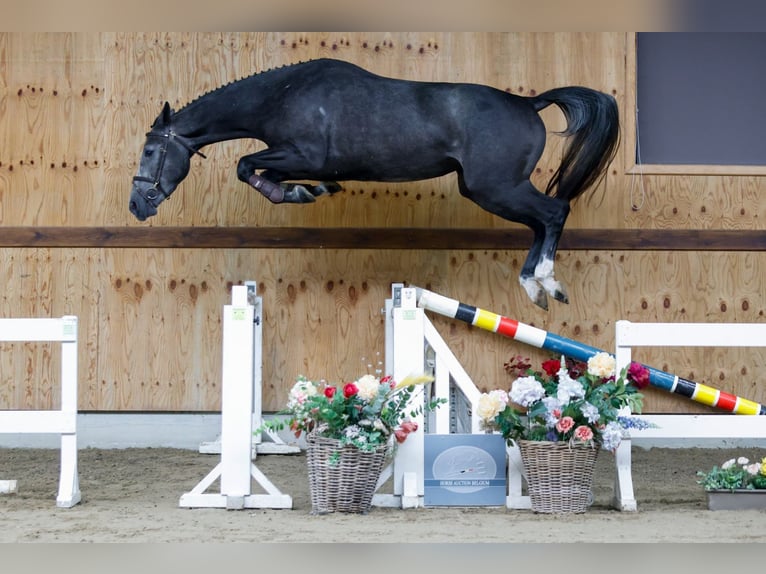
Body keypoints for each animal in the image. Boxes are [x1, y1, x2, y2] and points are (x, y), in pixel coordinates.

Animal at [132, 58, 620, 310]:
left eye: (150, 152)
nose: (138, 205)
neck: (283, 95)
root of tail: (528, 103)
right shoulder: (296, 159)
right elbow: (263, 173)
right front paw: (308, 192)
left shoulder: (304, 154)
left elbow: (245, 165)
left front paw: (298, 192)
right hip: (492, 189)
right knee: (541, 222)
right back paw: (533, 287)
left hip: (495, 188)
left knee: (554, 213)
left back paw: (547, 282)